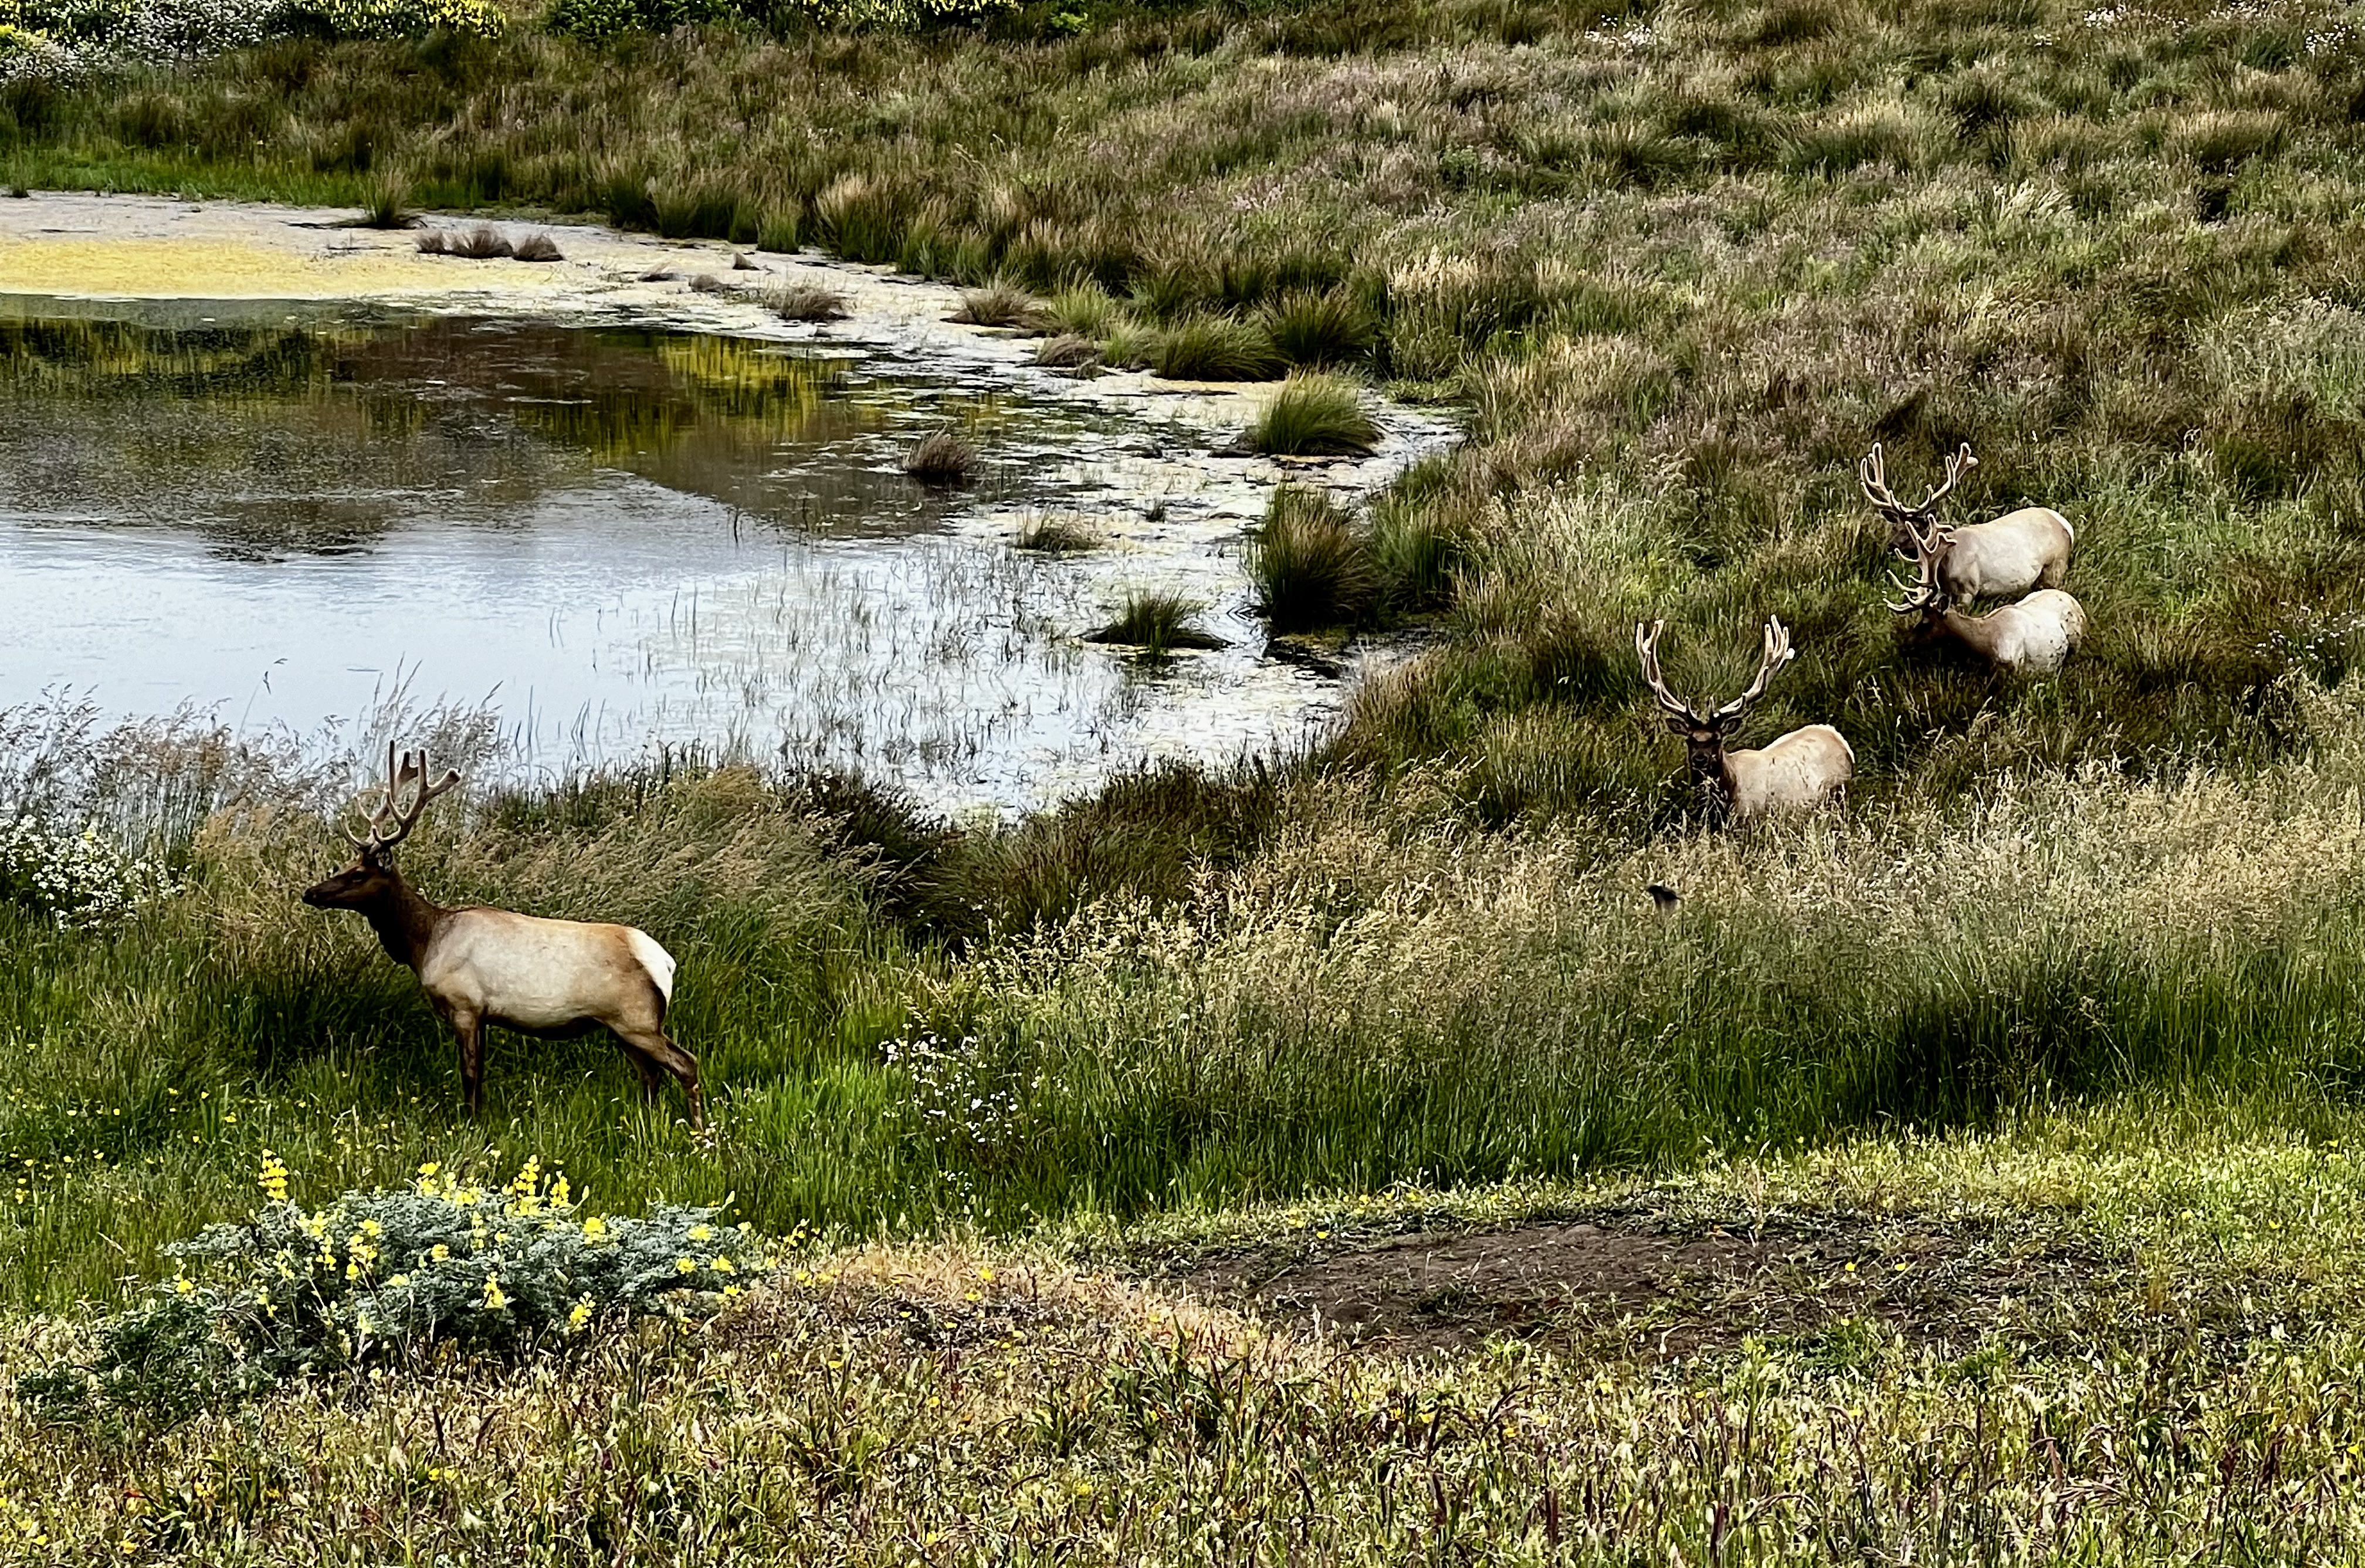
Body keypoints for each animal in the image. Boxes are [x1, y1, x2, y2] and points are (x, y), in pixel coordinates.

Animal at [301, 745, 703, 1129]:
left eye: (358, 875)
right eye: (346, 866)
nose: (310, 893)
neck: (424, 943)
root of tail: (665, 963)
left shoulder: (465, 1005)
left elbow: (469, 1073)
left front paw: (471, 1123)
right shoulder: (482, 1014)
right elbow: (480, 1075)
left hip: (636, 1019)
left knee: (686, 1063)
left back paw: (699, 1131)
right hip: (621, 1027)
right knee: (651, 1074)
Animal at [1858, 441, 2074, 605]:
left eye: (1918, 527)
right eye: (1895, 526)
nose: (1891, 546)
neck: (1942, 566)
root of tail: (2065, 525)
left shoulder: (1968, 590)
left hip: (2055, 567)